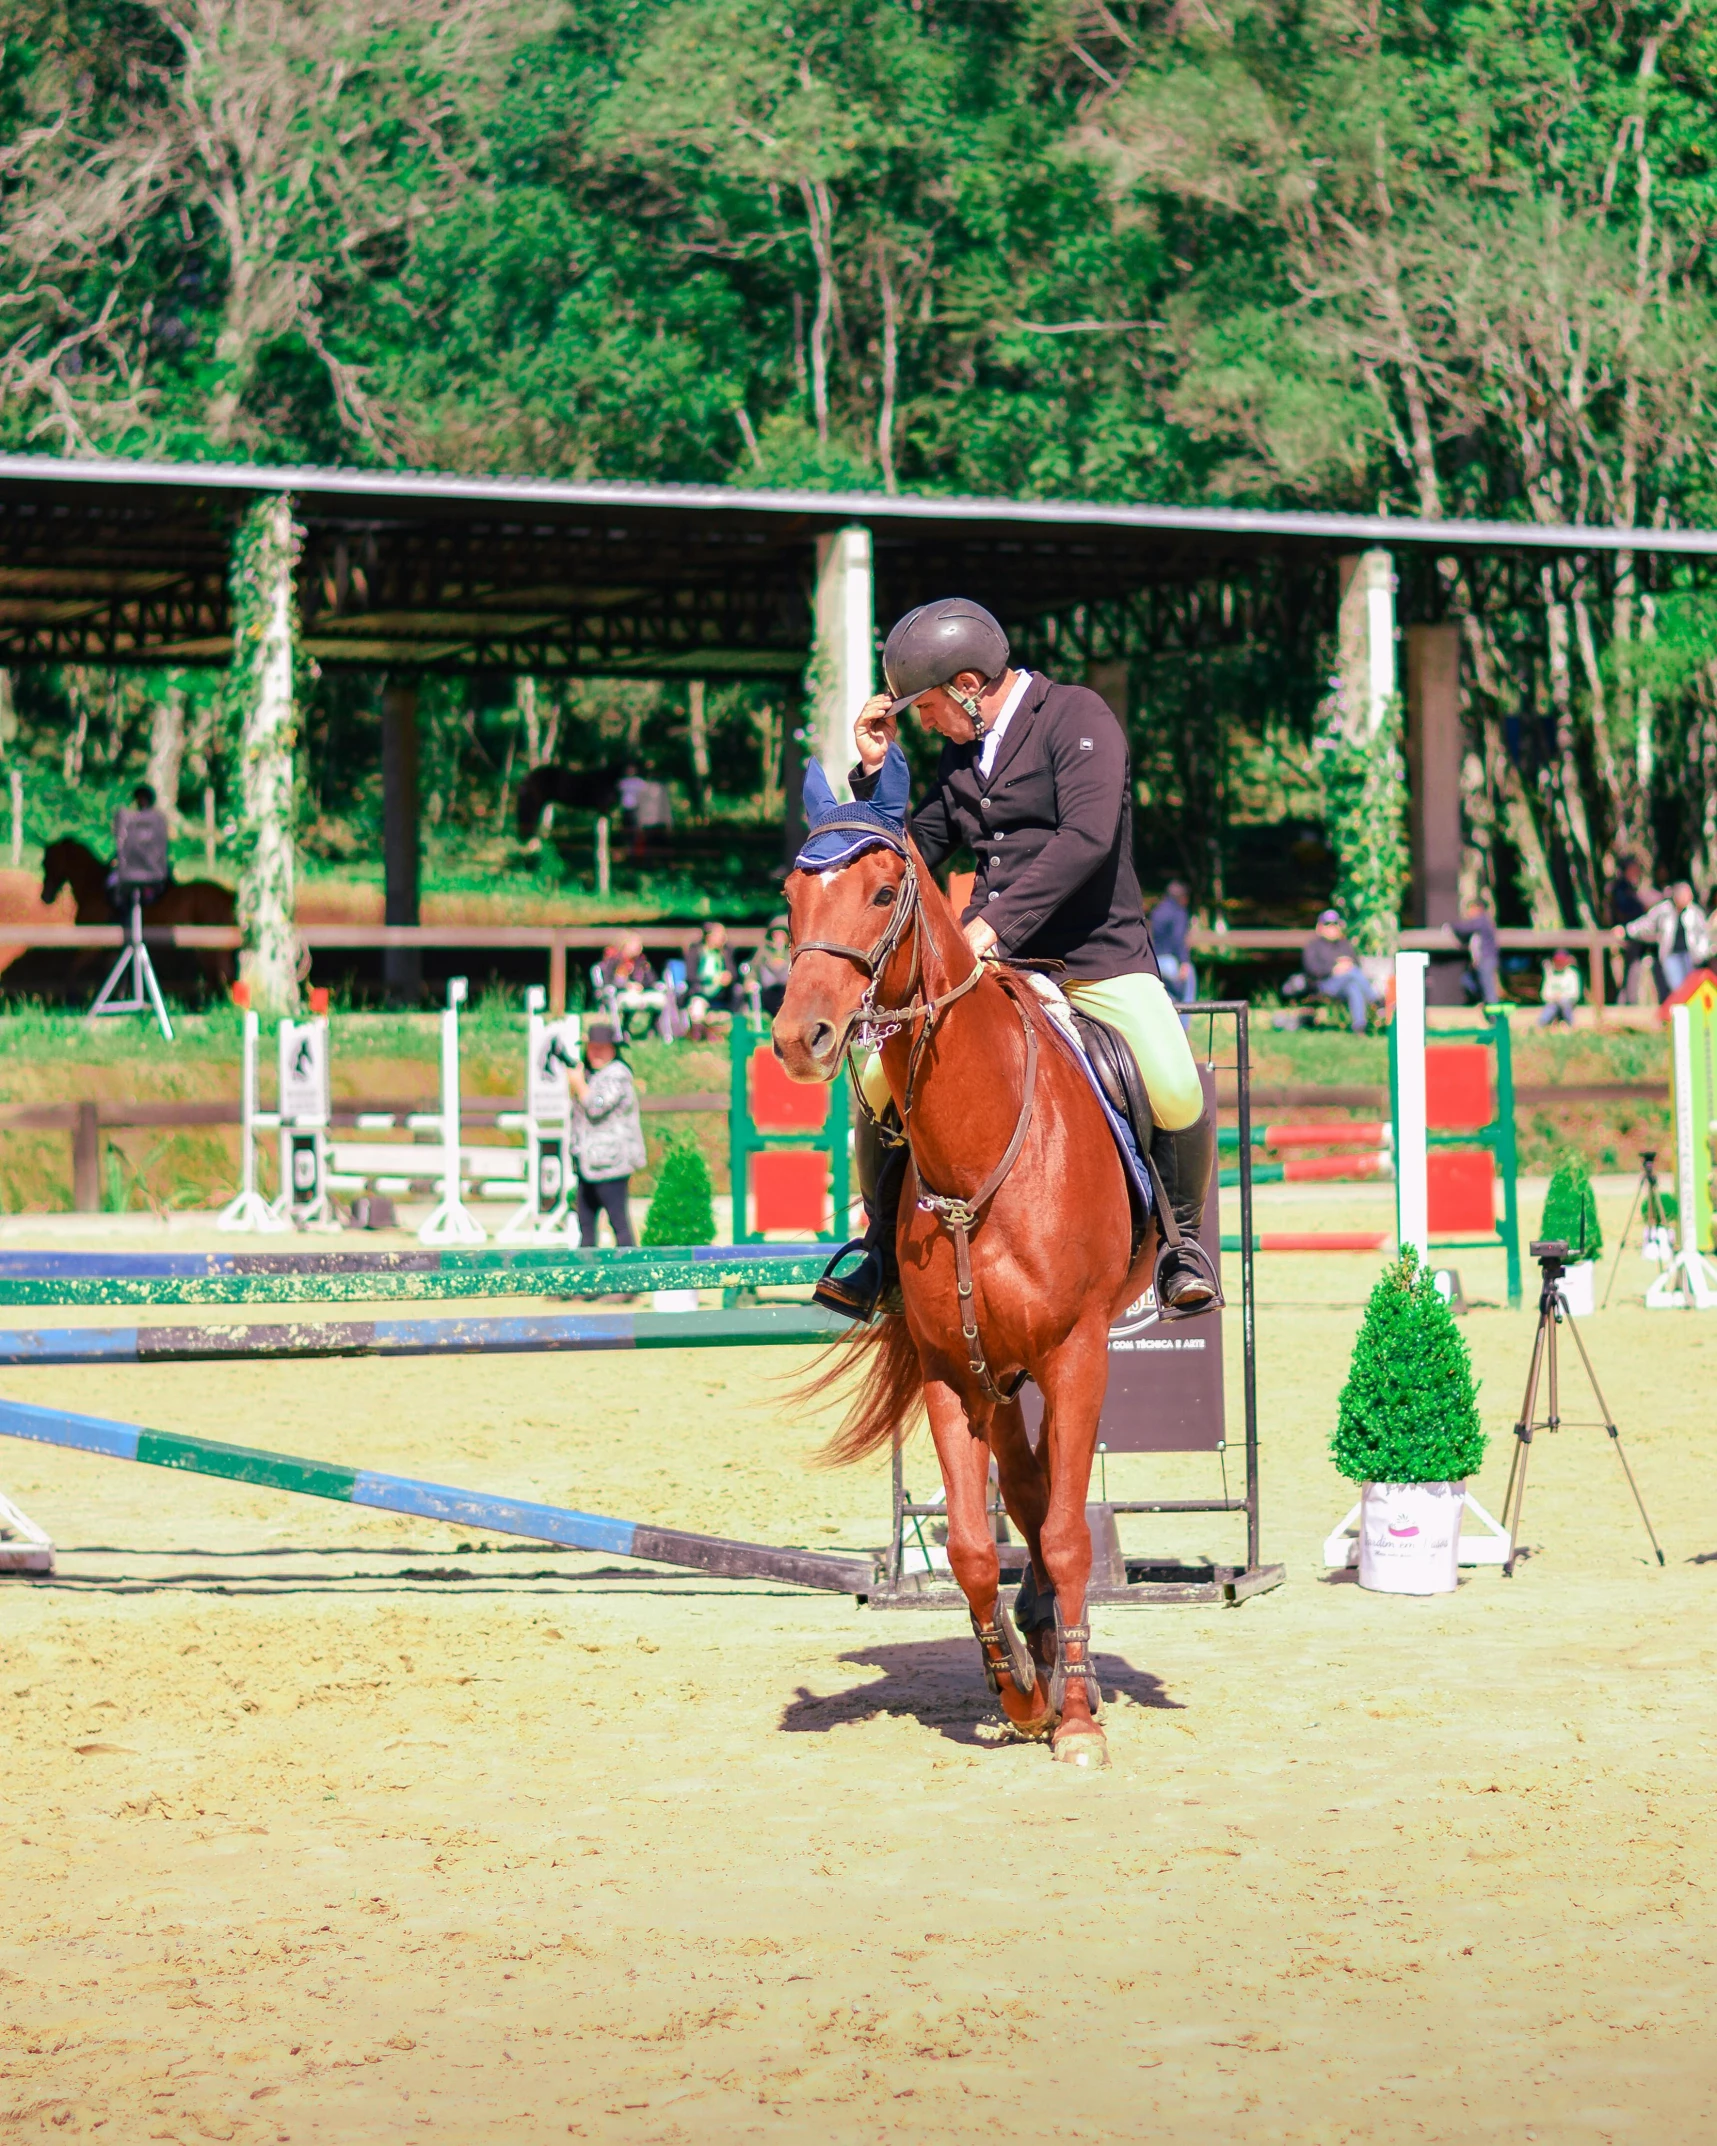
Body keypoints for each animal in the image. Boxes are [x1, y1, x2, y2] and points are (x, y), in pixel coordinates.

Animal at [33, 836, 238, 1004]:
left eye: (48, 862)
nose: (44, 897)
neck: (94, 890)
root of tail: (227, 895)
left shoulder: (93, 945)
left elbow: (73, 969)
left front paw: (71, 999)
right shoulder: (114, 949)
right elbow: (115, 975)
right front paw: (120, 999)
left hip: (209, 947)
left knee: (219, 975)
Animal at [772, 828, 1150, 1768]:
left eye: (881, 895)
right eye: (791, 897)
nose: (800, 1037)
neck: (977, 1149)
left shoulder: (1077, 1353)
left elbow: (1068, 1532)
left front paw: (1076, 1720)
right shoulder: (949, 1368)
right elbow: (977, 1547)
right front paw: (1017, 1689)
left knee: (1050, 1502)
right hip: (994, 1374)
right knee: (1025, 1487)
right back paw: (1040, 1639)